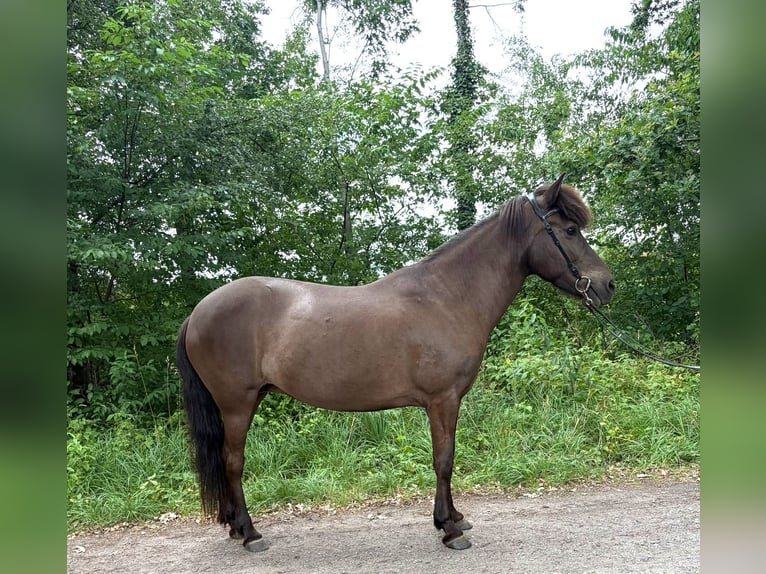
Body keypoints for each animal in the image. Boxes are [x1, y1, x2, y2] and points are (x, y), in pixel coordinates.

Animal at [176, 174, 614, 552]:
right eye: (570, 231)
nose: (607, 285)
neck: (447, 296)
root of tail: (197, 312)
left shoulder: (447, 402)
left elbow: (447, 458)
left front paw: (454, 517)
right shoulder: (442, 400)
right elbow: (444, 460)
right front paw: (449, 529)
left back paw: (235, 527)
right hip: (237, 404)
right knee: (233, 462)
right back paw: (250, 533)